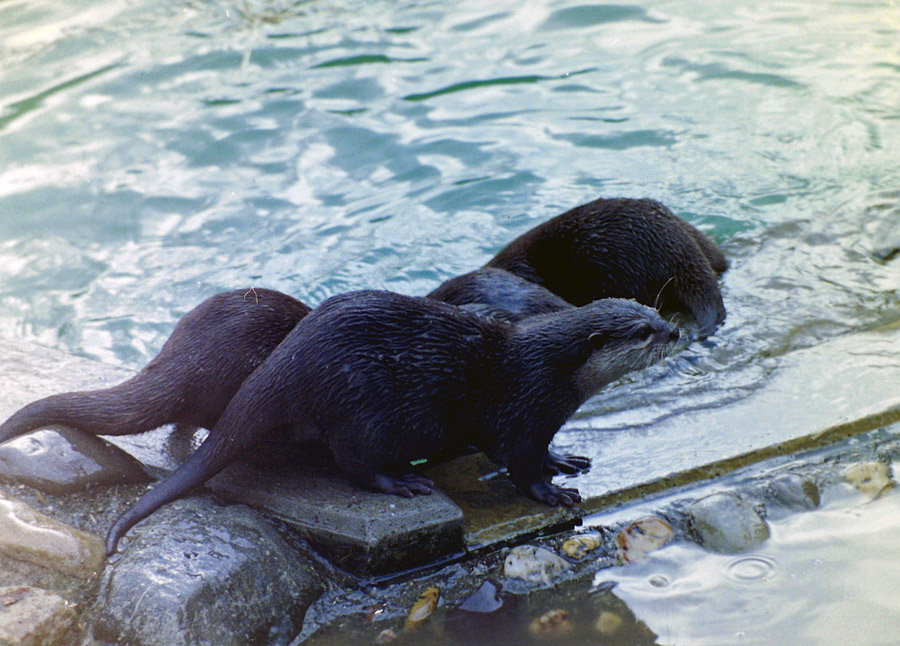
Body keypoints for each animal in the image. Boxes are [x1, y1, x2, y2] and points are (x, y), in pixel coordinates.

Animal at [105, 292, 680, 556]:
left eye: (652, 312)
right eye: (642, 331)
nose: (675, 331)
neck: (549, 370)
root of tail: (287, 363)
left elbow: (542, 452)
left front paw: (566, 458)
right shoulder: (521, 414)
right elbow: (518, 466)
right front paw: (553, 492)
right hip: (364, 412)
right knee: (353, 463)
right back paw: (401, 482)